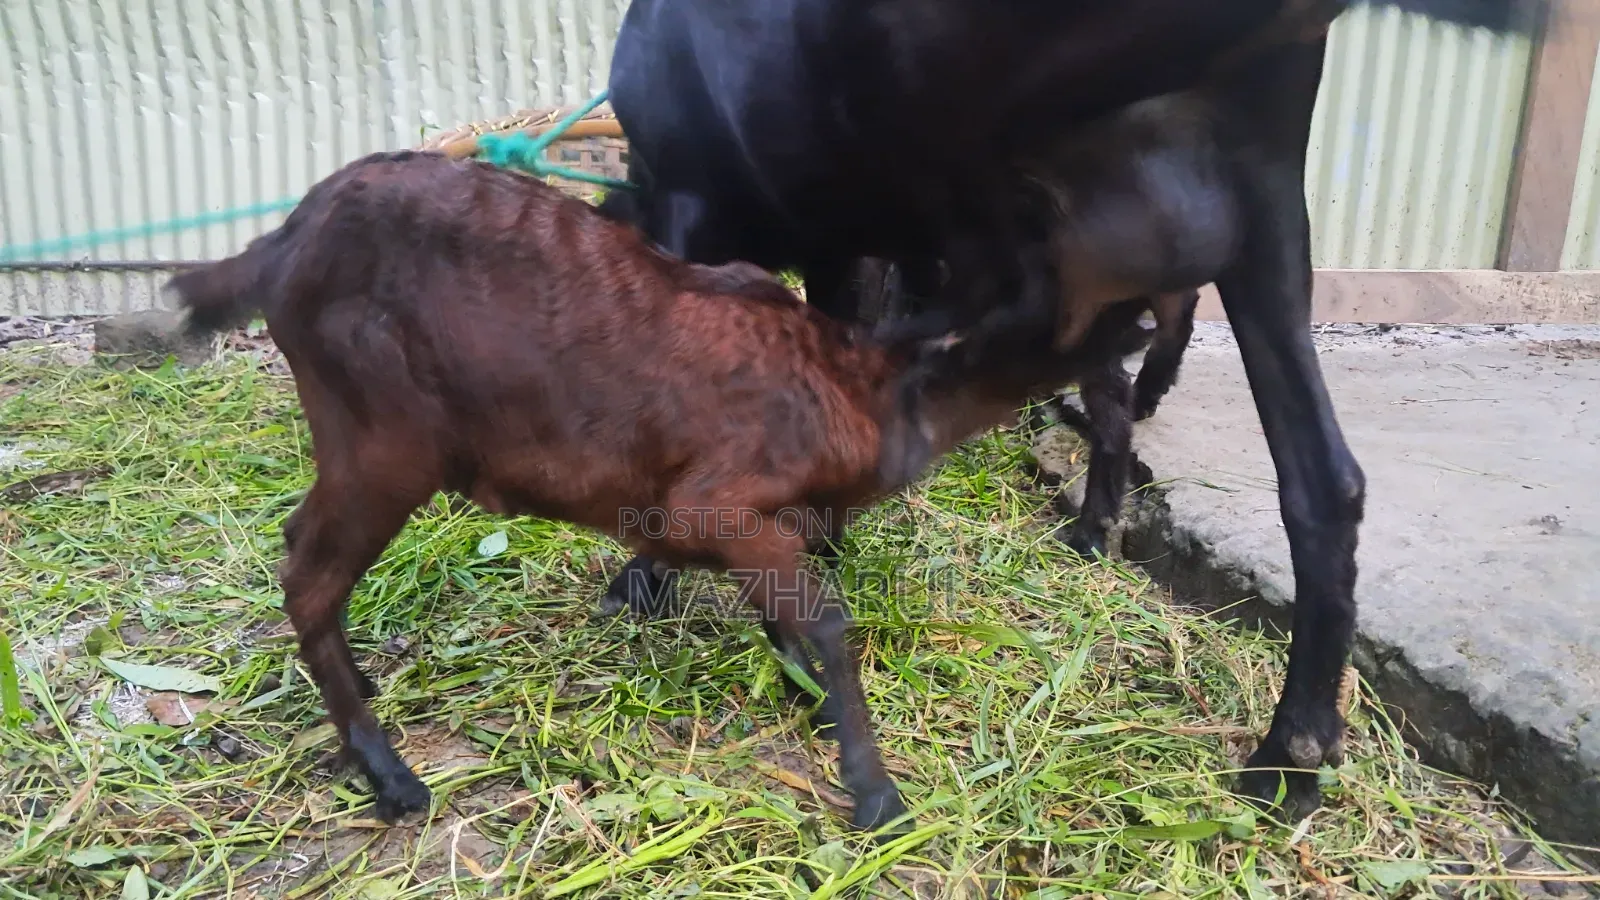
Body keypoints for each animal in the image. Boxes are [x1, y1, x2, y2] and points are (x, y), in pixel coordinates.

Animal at [166, 149, 1155, 833]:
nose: (1144, 325)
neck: (863, 388)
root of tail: (282, 242)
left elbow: (791, 619)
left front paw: (808, 697)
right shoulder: (721, 499)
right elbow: (829, 623)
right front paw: (876, 794)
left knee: (303, 551)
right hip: (385, 437)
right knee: (306, 573)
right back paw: (389, 773)